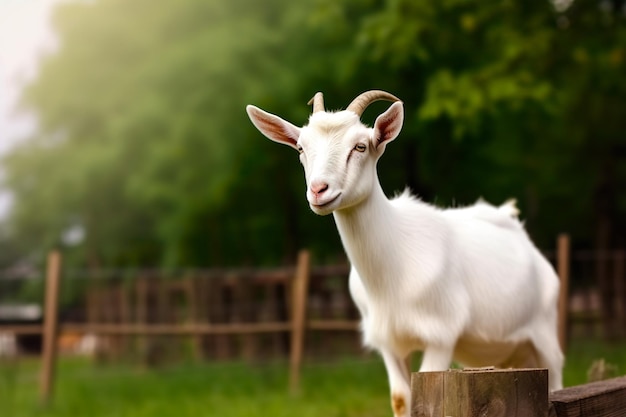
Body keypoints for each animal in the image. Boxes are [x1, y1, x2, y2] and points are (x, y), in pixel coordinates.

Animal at [246, 89, 564, 414]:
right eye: (301, 147)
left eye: (360, 146)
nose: (319, 190)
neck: (392, 273)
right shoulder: (388, 341)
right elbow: (401, 399)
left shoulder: (442, 333)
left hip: (545, 332)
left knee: (556, 381)